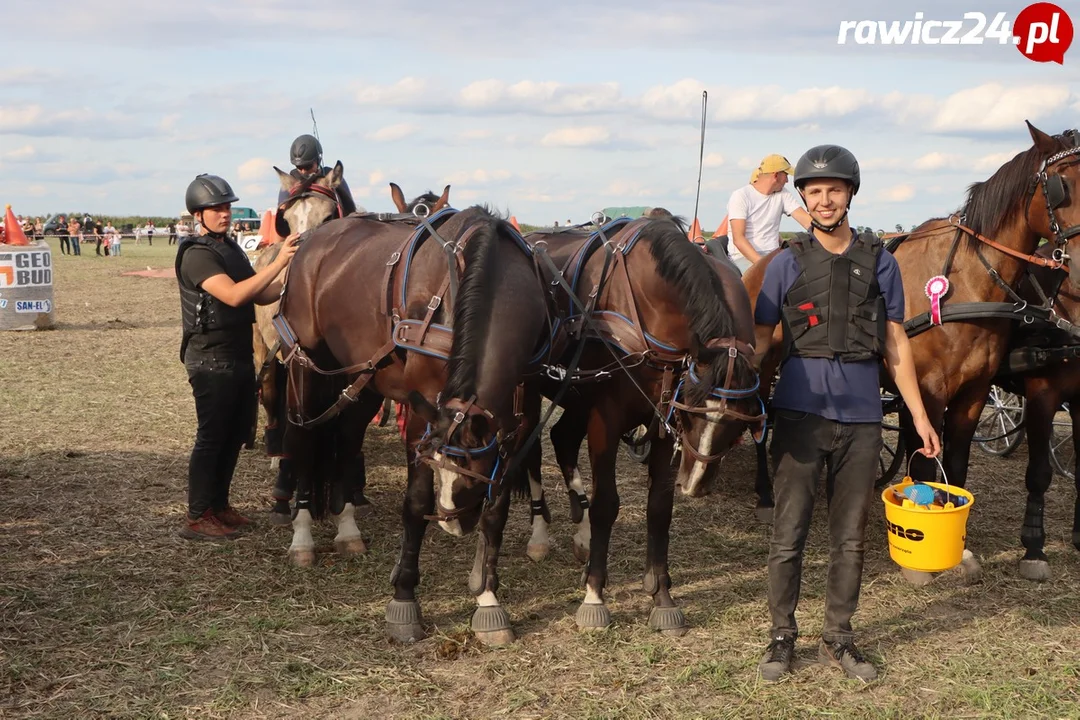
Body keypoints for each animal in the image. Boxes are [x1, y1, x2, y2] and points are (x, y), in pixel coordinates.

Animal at [516, 215, 764, 634]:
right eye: (692, 410)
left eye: (737, 424)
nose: (695, 485)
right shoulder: (606, 418)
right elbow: (607, 504)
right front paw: (594, 596)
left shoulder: (661, 422)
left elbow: (659, 507)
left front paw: (662, 596)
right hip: (533, 391)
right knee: (534, 450)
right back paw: (539, 535)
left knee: (562, 439)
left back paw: (582, 533)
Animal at [743, 120, 1080, 587]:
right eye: (1061, 185)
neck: (964, 282)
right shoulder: (932, 390)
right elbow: (925, 465)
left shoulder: (974, 392)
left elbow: (954, 464)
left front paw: (961, 547)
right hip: (764, 367)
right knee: (761, 419)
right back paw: (764, 493)